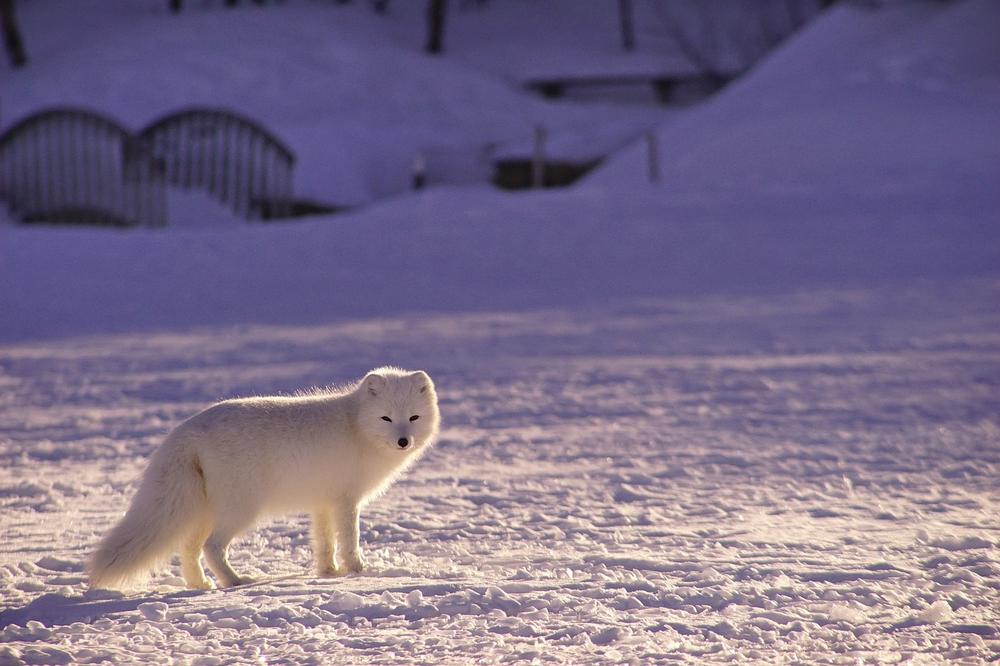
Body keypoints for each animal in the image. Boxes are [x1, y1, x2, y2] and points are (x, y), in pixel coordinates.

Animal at [88, 366, 440, 588]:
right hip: (241, 509)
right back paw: (234, 581)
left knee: (188, 549)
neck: (356, 426)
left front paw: (328, 572)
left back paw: (200, 585)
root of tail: (187, 429)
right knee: (212, 547)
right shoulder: (346, 501)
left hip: (203, 510)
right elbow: (349, 539)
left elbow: (324, 541)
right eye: (386, 418)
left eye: (413, 417)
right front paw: (358, 570)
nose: (403, 441)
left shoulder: (322, 502)